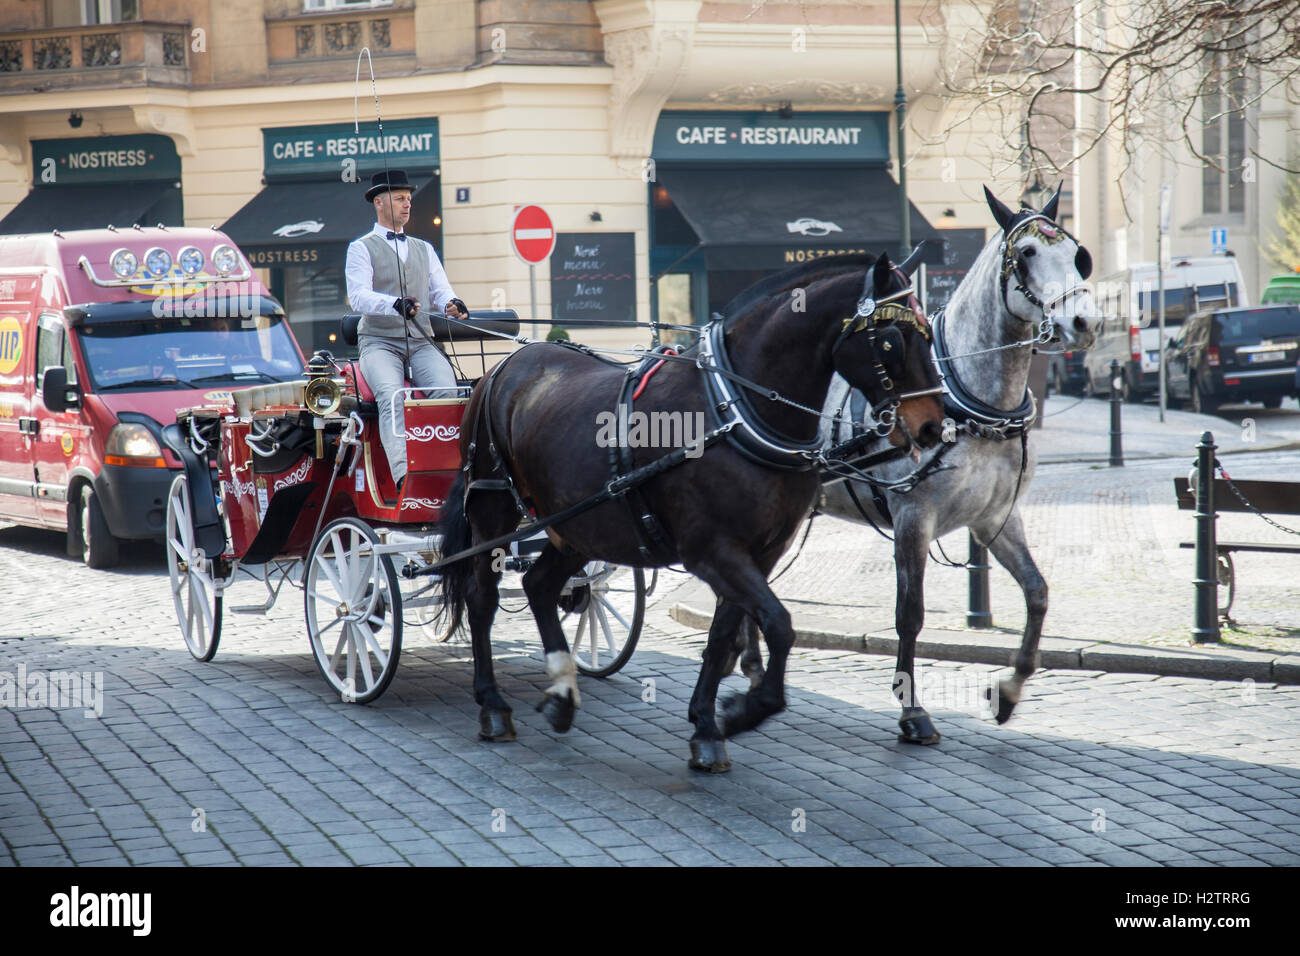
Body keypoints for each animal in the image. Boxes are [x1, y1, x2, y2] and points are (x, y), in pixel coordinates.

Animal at [436, 252, 946, 770]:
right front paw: (743, 710)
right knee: (483, 597)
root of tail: (504, 367)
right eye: (891, 339)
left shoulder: (758, 553)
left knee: (539, 586)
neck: (736, 412)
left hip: (577, 524)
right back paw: (493, 704)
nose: (933, 427)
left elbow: (723, 635)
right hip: (494, 509)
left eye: (929, 333)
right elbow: (779, 625)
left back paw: (561, 692)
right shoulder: (713, 550)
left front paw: (707, 722)